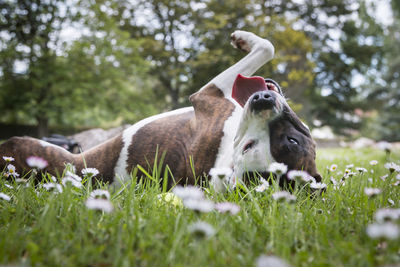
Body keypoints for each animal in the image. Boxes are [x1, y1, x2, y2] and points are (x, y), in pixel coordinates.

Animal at [0, 30, 320, 191]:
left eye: (249, 147)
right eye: (294, 140)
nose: (261, 101)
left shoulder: (208, 96)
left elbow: (267, 46)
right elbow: (269, 45)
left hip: (38, 148)